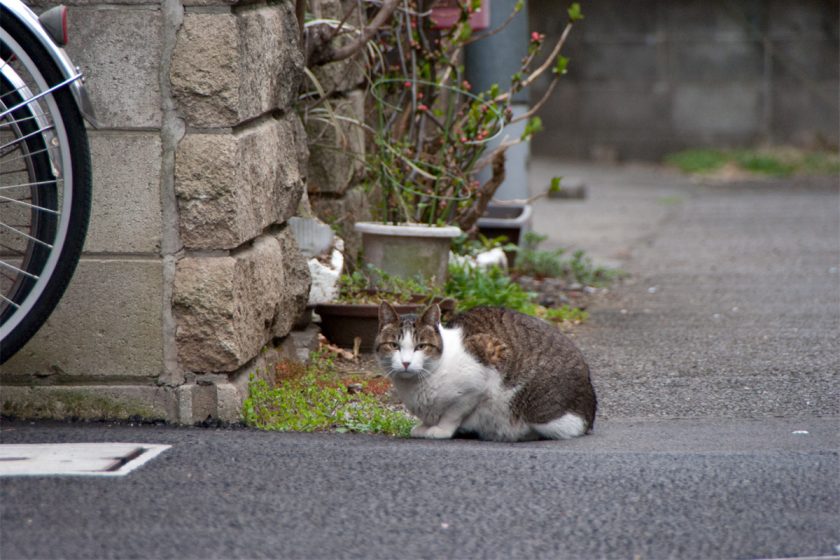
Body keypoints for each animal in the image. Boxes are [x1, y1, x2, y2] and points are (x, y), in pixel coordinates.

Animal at [374, 302, 596, 442]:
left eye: (421, 346)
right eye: (394, 345)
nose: (405, 363)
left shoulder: (480, 377)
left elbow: (453, 413)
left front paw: (441, 430)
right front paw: (425, 426)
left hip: (539, 411)